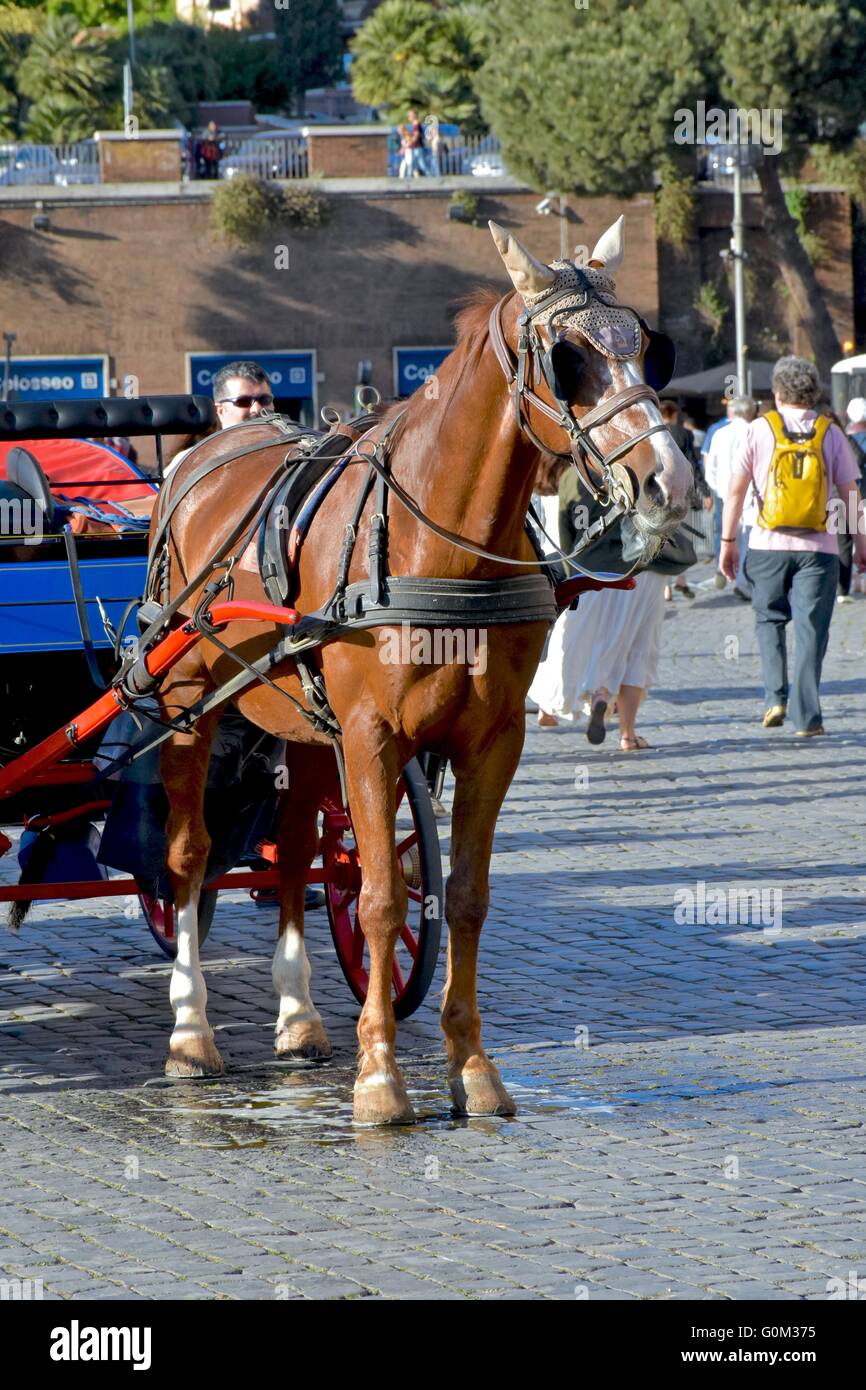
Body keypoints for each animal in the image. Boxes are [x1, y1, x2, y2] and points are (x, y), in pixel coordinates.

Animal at [150, 216, 693, 1124]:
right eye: (568, 358)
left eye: (645, 348)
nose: (670, 481)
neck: (432, 540)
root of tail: (201, 456)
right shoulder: (372, 737)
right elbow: (379, 899)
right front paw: (380, 1077)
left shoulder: (492, 741)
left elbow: (462, 898)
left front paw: (471, 1067)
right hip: (188, 704)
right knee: (188, 856)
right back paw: (191, 1031)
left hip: (305, 725)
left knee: (296, 855)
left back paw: (298, 1016)